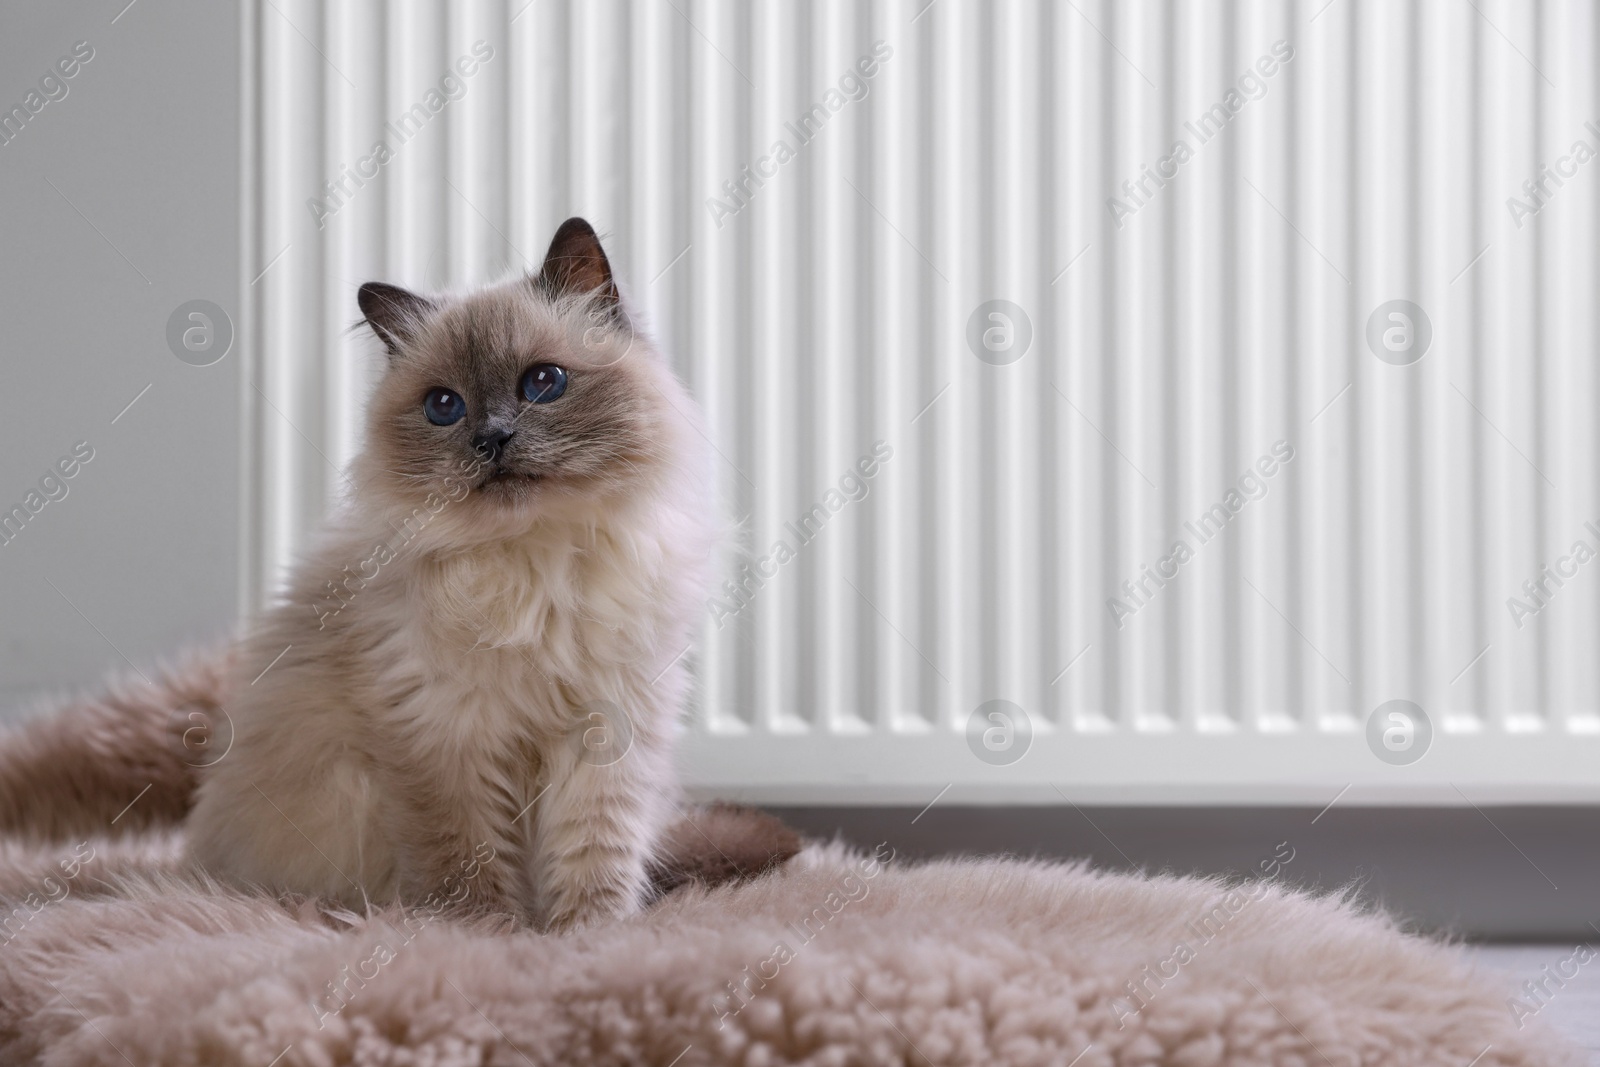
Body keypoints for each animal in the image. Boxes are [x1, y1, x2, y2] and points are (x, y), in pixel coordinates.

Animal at [184, 220, 716, 927]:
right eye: (444, 406)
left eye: (543, 382)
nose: (491, 439)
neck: (531, 565)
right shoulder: (443, 737)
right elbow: (465, 865)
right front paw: (487, 938)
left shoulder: (605, 729)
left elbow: (593, 856)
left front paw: (590, 935)